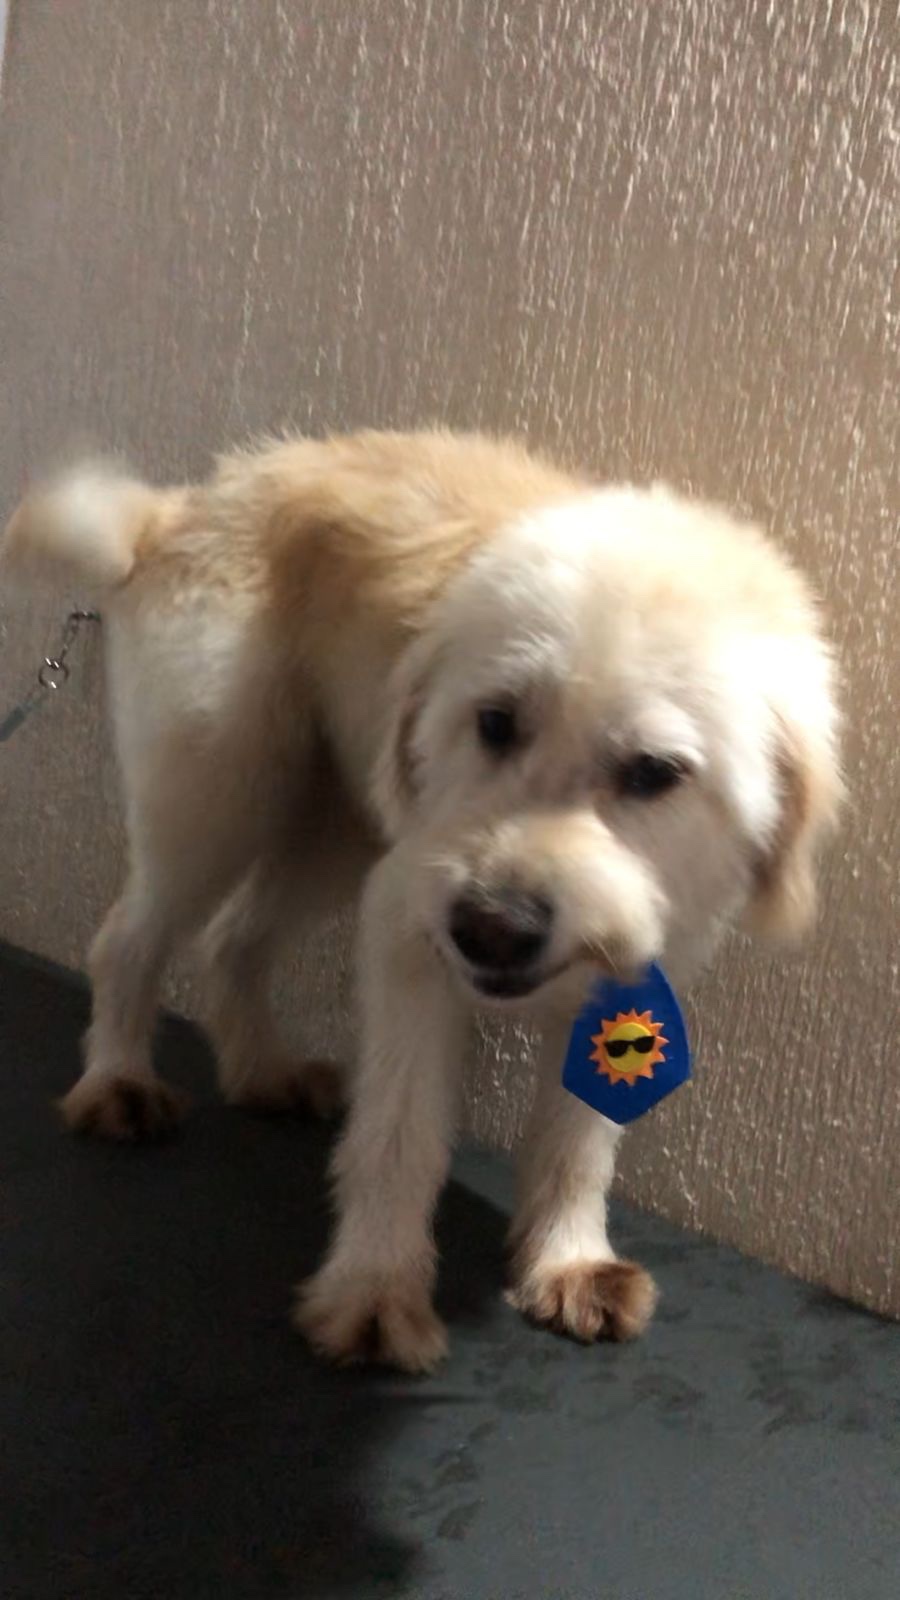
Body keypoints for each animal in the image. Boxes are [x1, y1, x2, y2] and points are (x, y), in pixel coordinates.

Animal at [3, 430, 841, 1372]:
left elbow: (579, 1135)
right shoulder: (409, 935)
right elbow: (399, 1133)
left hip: (334, 830)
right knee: (128, 941)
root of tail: (185, 506)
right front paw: (373, 1287)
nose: (492, 929)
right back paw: (117, 1080)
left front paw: (566, 1258)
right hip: (221, 797)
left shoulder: (622, 973)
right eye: (496, 721)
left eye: (656, 772)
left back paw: (262, 1069)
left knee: (234, 940)